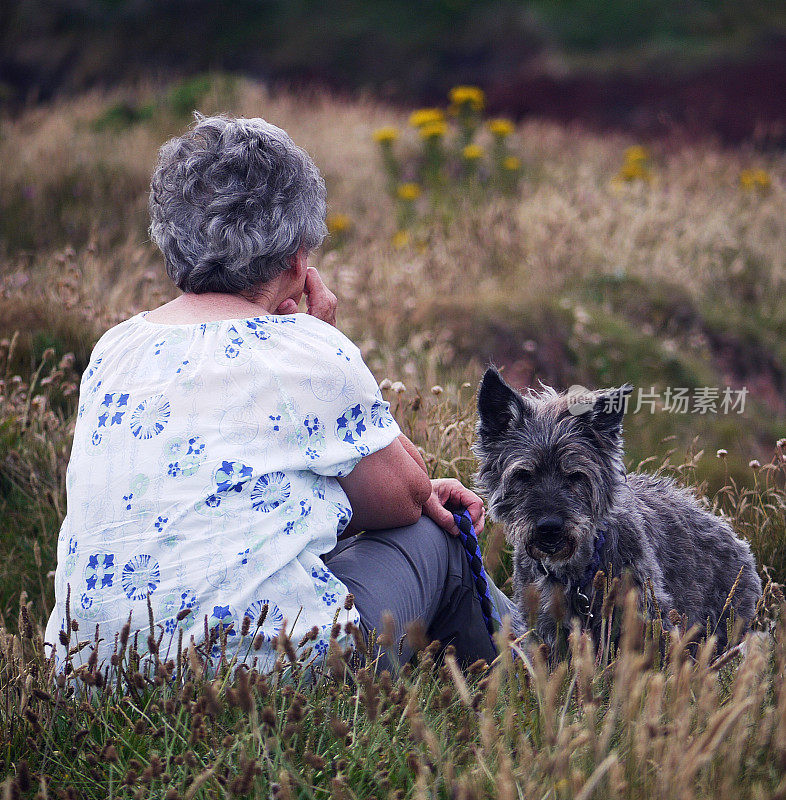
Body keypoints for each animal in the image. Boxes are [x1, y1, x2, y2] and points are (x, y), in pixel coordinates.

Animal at [472, 368, 760, 648]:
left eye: (575, 476)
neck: (576, 574)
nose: (549, 528)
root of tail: (736, 540)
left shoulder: (649, 621)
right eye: (523, 475)